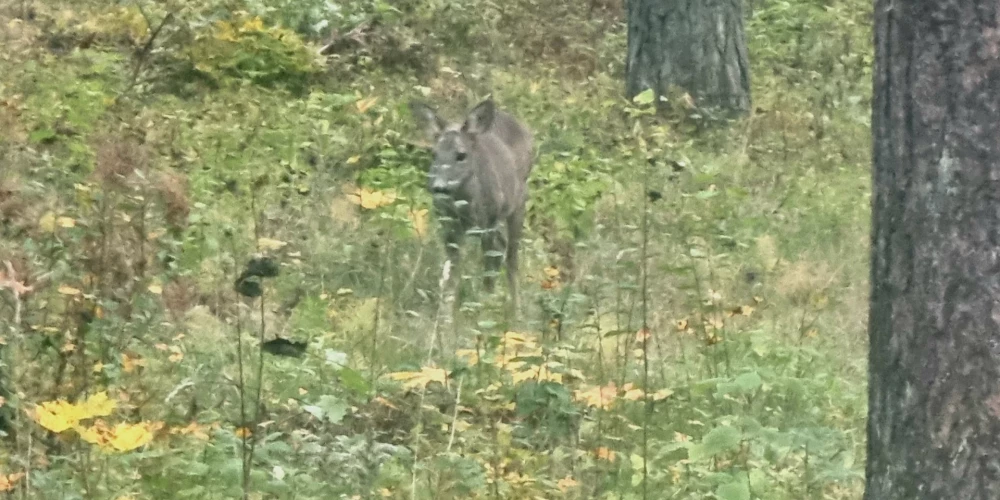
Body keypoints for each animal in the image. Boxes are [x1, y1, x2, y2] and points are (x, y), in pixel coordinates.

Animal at [408, 95, 532, 318]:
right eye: (434, 154)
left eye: (461, 155)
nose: (439, 187)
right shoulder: (448, 225)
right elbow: (453, 273)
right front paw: (446, 317)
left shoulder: (488, 221)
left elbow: (490, 266)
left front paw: (484, 307)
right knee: (501, 248)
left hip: (518, 202)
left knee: (511, 258)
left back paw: (516, 312)